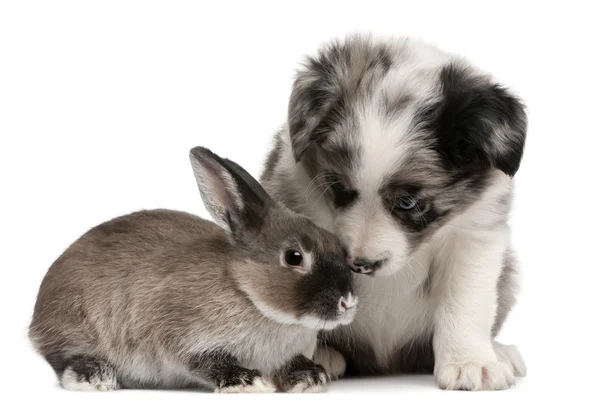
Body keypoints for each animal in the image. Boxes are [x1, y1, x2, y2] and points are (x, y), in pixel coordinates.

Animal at [29, 148, 356, 394]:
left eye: (337, 246)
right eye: (294, 257)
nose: (348, 302)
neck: (245, 290)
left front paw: (310, 378)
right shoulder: (180, 339)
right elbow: (207, 362)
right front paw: (247, 382)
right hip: (73, 326)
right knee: (62, 359)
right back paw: (94, 377)